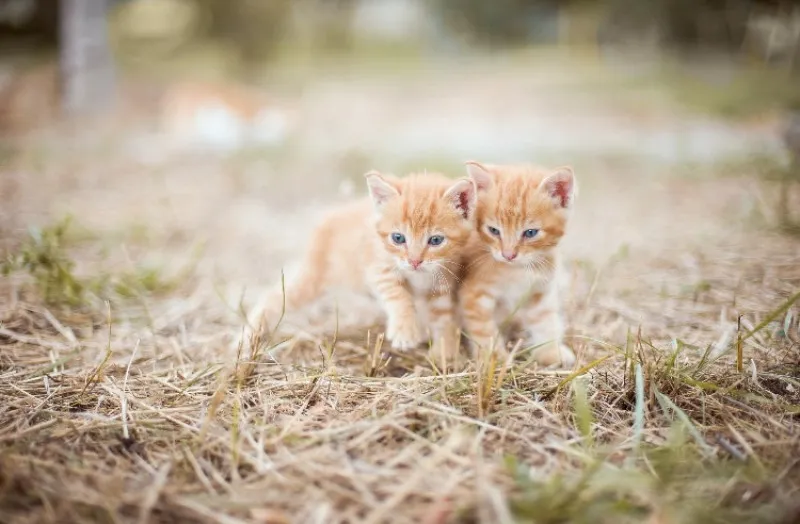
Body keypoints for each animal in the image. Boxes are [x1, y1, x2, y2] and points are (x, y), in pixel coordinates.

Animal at [255, 172, 476, 360]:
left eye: (436, 240)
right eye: (398, 238)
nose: (414, 261)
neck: (420, 275)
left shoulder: (442, 283)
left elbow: (444, 316)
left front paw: (446, 351)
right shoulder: (378, 268)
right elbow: (398, 295)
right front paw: (405, 330)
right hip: (313, 278)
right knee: (275, 297)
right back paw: (252, 336)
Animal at [460, 162, 580, 366]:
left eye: (530, 233)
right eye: (494, 230)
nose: (508, 255)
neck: (517, 270)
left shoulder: (540, 291)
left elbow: (545, 322)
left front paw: (550, 352)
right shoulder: (474, 294)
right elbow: (484, 330)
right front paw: (494, 358)